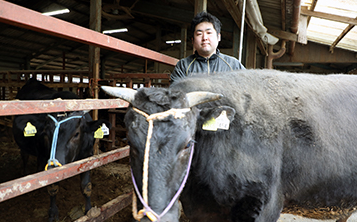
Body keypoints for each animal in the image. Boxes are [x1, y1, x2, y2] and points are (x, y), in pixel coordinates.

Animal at [12, 78, 110, 222]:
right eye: (46, 134)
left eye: (76, 134)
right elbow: (53, 187)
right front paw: (53, 214)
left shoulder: (87, 156)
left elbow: (86, 186)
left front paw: (88, 210)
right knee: (25, 156)